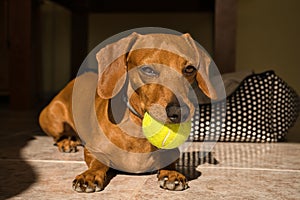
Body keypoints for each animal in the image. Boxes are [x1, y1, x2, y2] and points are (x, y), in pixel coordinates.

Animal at [38, 32, 217, 192]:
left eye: (189, 69)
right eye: (147, 70)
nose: (179, 112)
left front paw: (172, 173)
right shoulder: (92, 149)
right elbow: (98, 162)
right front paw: (89, 175)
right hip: (52, 117)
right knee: (58, 135)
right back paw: (66, 142)